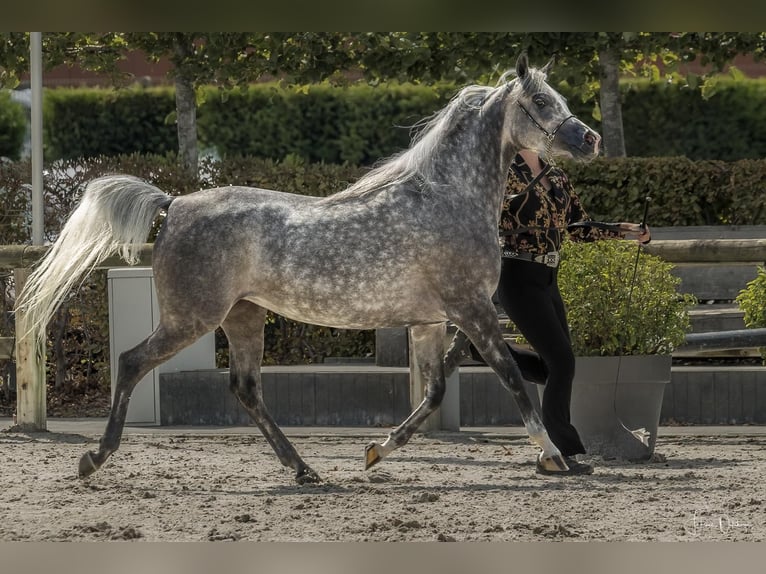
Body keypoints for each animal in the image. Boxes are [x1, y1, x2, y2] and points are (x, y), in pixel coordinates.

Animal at [16, 53, 601, 484]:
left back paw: (303, 470)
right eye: (541, 101)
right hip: (192, 318)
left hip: (243, 316)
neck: (447, 198)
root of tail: (174, 203)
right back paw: (93, 458)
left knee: (246, 388)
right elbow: (512, 379)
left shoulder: (433, 321)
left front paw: (377, 451)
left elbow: (434, 393)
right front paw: (554, 455)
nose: (590, 139)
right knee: (133, 361)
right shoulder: (471, 310)